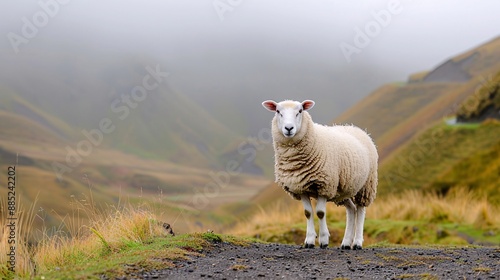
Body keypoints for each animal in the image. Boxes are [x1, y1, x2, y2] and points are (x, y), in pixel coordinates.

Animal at [260, 99, 376, 248]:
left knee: (361, 210)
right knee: (351, 210)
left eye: (300, 111)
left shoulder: (324, 185)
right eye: (278, 111)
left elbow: (320, 213)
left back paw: (357, 242)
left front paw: (324, 240)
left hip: (366, 185)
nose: (289, 128)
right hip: (343, 191)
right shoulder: (300, 186)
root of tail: (356, 128)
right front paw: (309, 240)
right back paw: (345, 242)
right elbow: (308, 213)